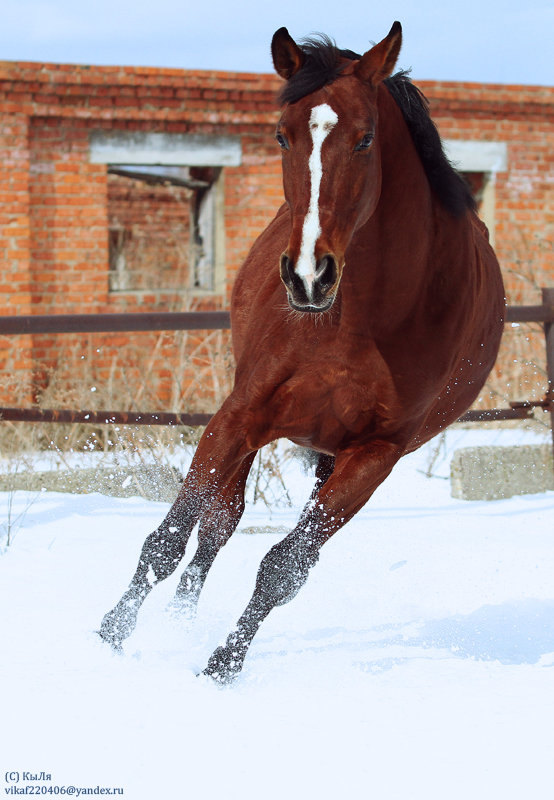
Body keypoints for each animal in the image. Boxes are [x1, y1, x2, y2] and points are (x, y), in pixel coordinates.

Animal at [97, 25, 502, 684]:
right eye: (281, 134)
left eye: (365, 138)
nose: (309, 276)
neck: (356, 320)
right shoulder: (242, 413)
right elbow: (171, 537)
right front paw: (109, 636)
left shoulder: (374, 455)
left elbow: (285, 568)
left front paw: (221, 668)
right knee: (218, 525)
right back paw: (175, 623)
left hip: (329, 457)